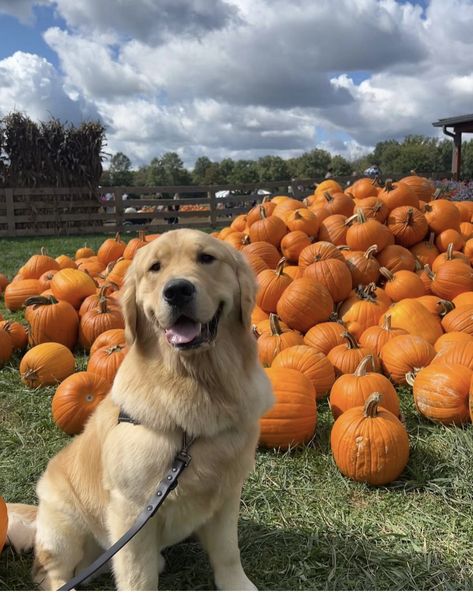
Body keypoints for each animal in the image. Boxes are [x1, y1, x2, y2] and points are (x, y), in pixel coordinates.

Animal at [6, 228, 272, 592]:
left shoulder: (227, 494)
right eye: (155, 267)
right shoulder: (131, 509)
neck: (195, 385)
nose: (177, 290)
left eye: (206, 258)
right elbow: (138, 576)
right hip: (63, 525)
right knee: (52, 573)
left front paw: (238, 585)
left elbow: (228, 552)